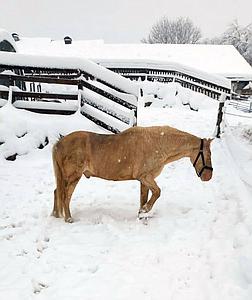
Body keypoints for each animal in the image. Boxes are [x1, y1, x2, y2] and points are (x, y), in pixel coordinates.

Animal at [52, 125, 214, 221]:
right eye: (208, 154)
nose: (208, 177)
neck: (157, 143)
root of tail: (59, 143)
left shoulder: (144, 180)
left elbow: (144, 198)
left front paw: (141, 215)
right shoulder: (145, 177)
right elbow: (157, 192)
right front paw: (145, 210)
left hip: (65, 177)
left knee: (57, 192)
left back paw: (55, 215)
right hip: (73, 177)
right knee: (65, 196)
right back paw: (68, 218)